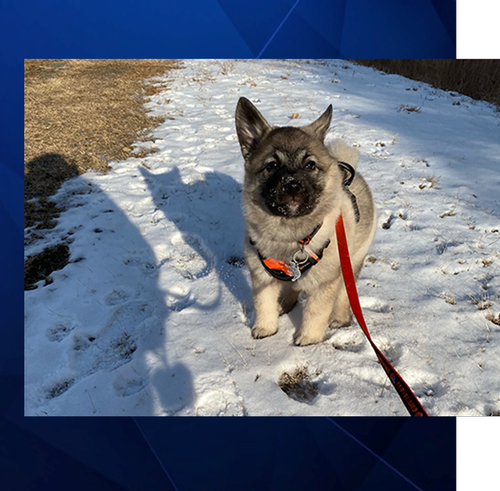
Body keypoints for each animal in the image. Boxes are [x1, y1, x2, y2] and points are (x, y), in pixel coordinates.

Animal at [234, 97, 376, 346]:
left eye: (310, 165)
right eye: (272, 165)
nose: (292, 185)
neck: (291, 236)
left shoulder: (324, 285)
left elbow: (316, 312)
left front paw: (308, 339)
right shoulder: (262, 279)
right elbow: (264, 305)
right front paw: (266, 328)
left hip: (351, 262)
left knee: (344, 294)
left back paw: (340, 318)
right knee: (294, 287)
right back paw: (285, 304)